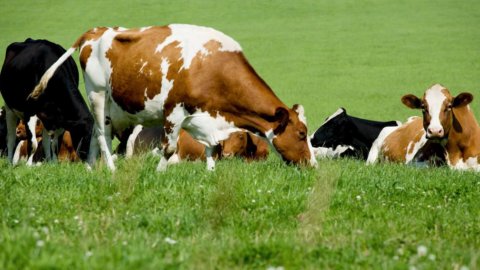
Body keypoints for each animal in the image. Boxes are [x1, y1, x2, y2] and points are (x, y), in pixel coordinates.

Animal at [0, 37, 93, 165]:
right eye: (86, 136)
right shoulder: (29, 112)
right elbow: (33, 143)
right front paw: (28, 165)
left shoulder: (62, 118)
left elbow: (54, 144)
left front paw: (53, 164)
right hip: (9, 108)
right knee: (11, 138)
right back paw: (10, 163)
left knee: (45, 141)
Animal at [29, 23, 316, 171]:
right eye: (301, 134)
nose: (312, 165)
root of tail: (96, 31)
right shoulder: (174, 111)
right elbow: (169, 148)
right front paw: (159, 173)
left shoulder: (202, 116)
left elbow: (211, 147)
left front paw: (210, 172)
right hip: (97, 94)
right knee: (101, 134)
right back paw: (110, 169)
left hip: (111, 105)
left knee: (97, 136)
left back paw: (92, 168)